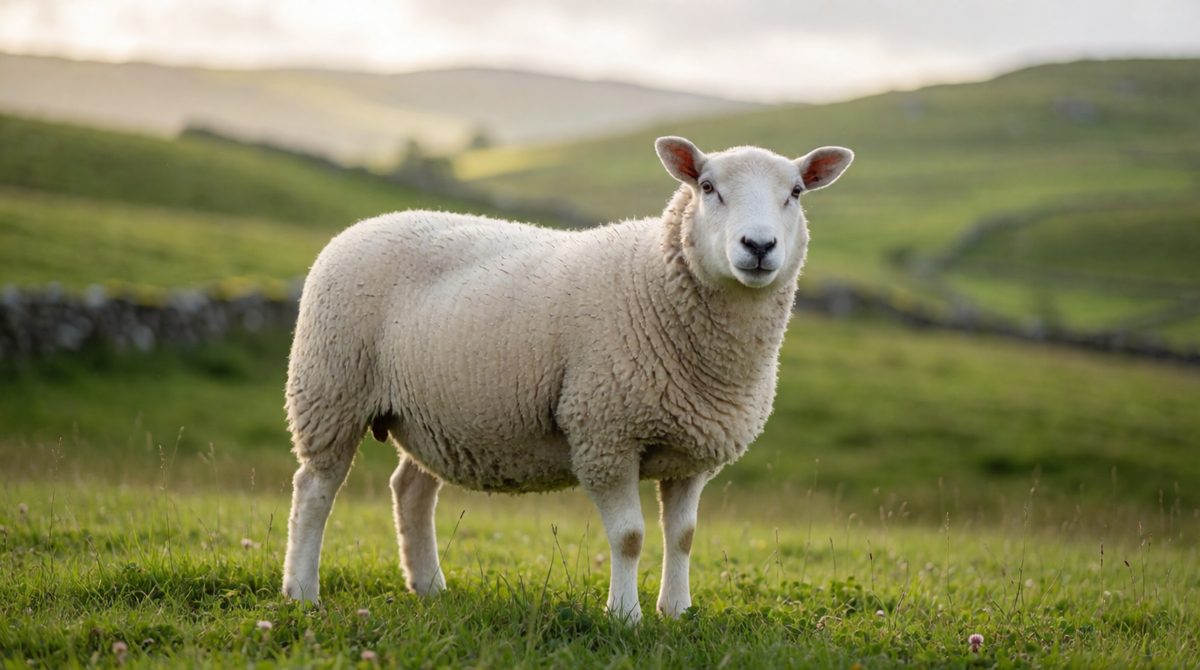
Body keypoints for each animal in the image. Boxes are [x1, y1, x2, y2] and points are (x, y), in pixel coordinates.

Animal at [281, 136, 854, 621]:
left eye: (796, 192)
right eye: (708, 187)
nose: (758, 246)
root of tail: (363, 225)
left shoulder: (693, 449)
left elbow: (684, 535)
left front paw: (677, 611)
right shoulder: (604, 433)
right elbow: (629, 537)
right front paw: (624, 616)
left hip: (432, 414)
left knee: (411, 489)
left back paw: (428, 586)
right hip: (330, 388)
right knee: (316, 489)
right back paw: (302, 591)